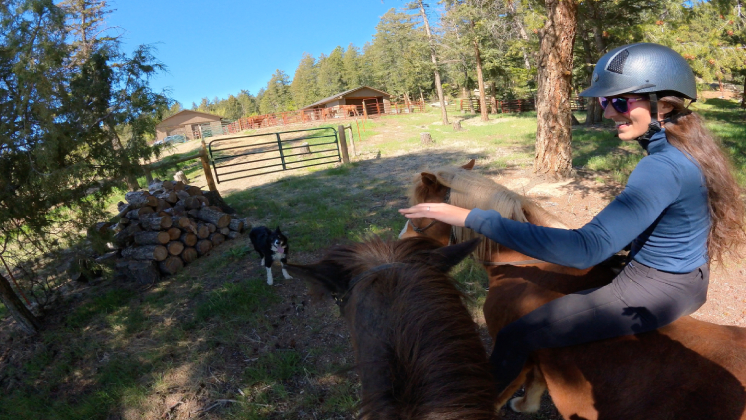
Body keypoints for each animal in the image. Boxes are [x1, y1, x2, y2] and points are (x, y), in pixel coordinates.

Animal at [402, 162, 744, 420]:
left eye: (419, 211)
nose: (404, 244)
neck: (526, 266)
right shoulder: (538, 356)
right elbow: (535, 382)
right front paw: (526, 405)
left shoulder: (510, 342)